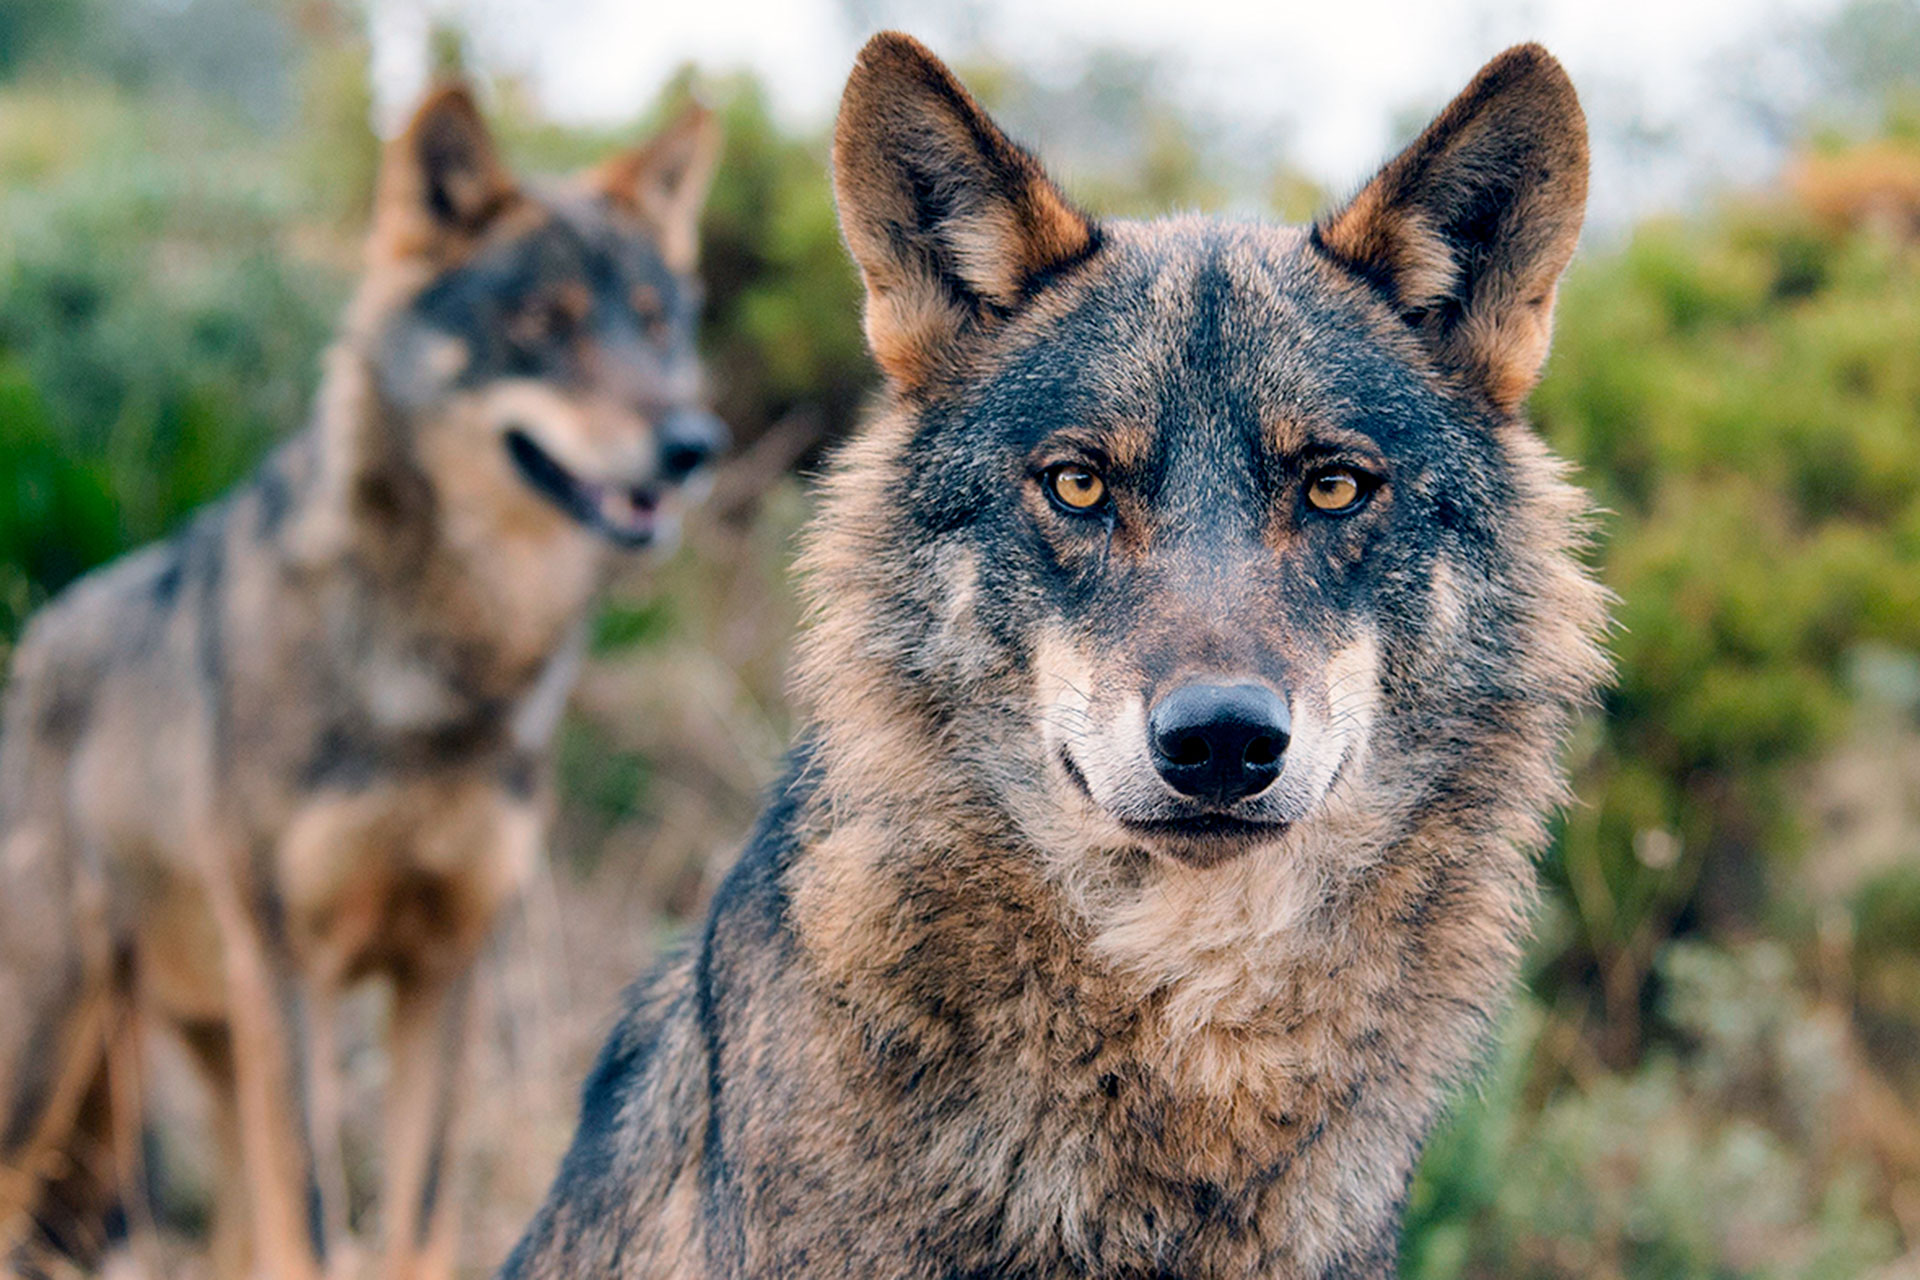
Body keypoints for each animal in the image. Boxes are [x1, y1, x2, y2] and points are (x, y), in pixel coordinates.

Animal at [0, 83, 723, 1280]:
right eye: (544, 323)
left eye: (657, 324)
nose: (693, 444)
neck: (442, 672)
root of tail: (35, 640)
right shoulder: (293, 971)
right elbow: (312, 1220)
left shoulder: (446, 970)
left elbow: (416, 1222)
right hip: (57, 1055)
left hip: (211, 1049)